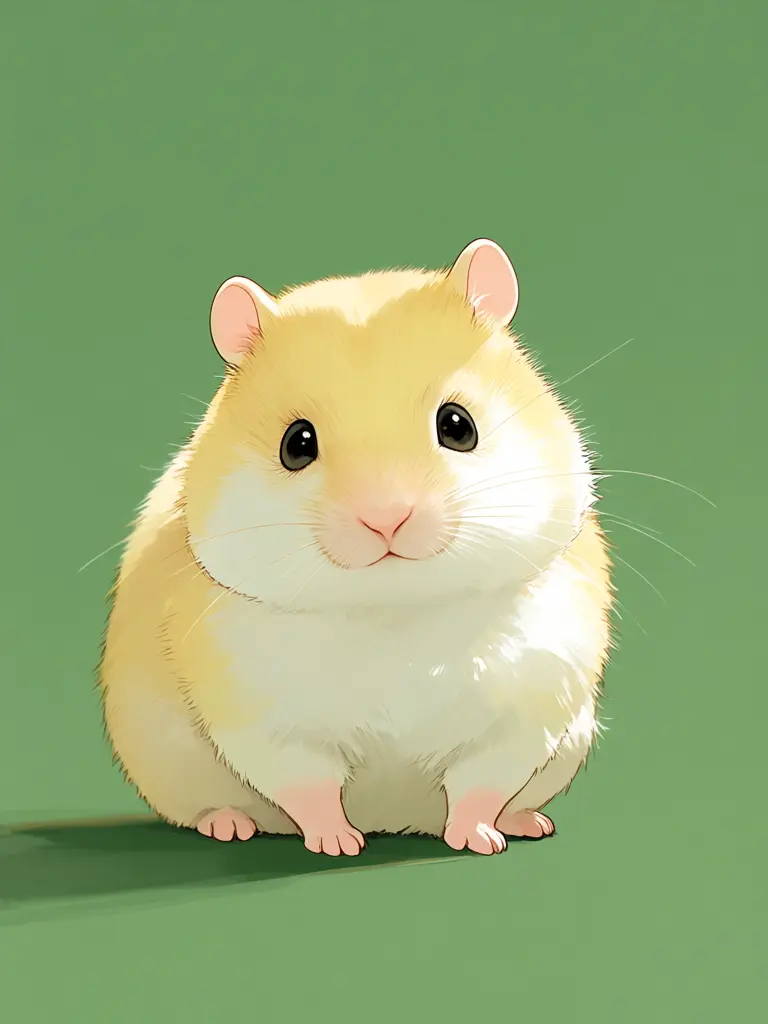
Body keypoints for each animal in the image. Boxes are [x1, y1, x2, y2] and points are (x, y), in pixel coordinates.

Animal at [98, 238, 613, 856]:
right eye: (296, 444)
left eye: (458, 425)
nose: (386, 519)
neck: (394, 611)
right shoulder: (266, 721)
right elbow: (310, 787)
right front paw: (337, 845)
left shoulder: (526, 712)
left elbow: (479, 785)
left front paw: (479, 841)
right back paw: (231, 825)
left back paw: (528, 823)